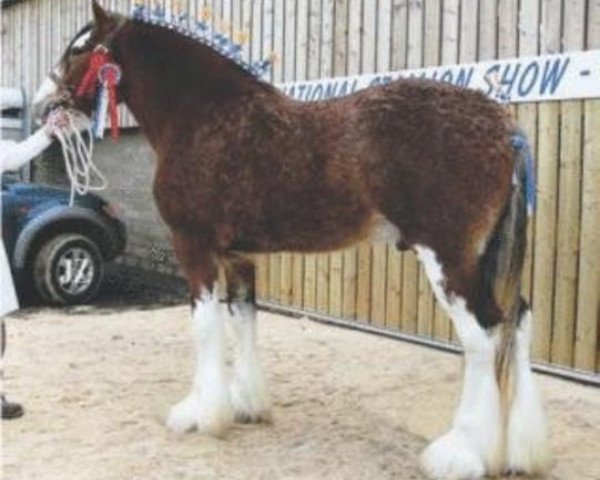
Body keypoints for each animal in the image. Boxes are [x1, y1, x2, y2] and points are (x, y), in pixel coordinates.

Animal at [32, 1, 548, 478]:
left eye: (78, 50)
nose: (43, 104)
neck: (204, 115)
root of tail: (504, 126)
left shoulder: (194, 247)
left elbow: (205, 327)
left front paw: (199, 414)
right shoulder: (238, 256)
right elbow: (242, 321)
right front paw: (245, 405)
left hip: (448, 258)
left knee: (483, 337)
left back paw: (461, 453)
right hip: (482, 258)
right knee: (517, 321)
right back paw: (518, 452)